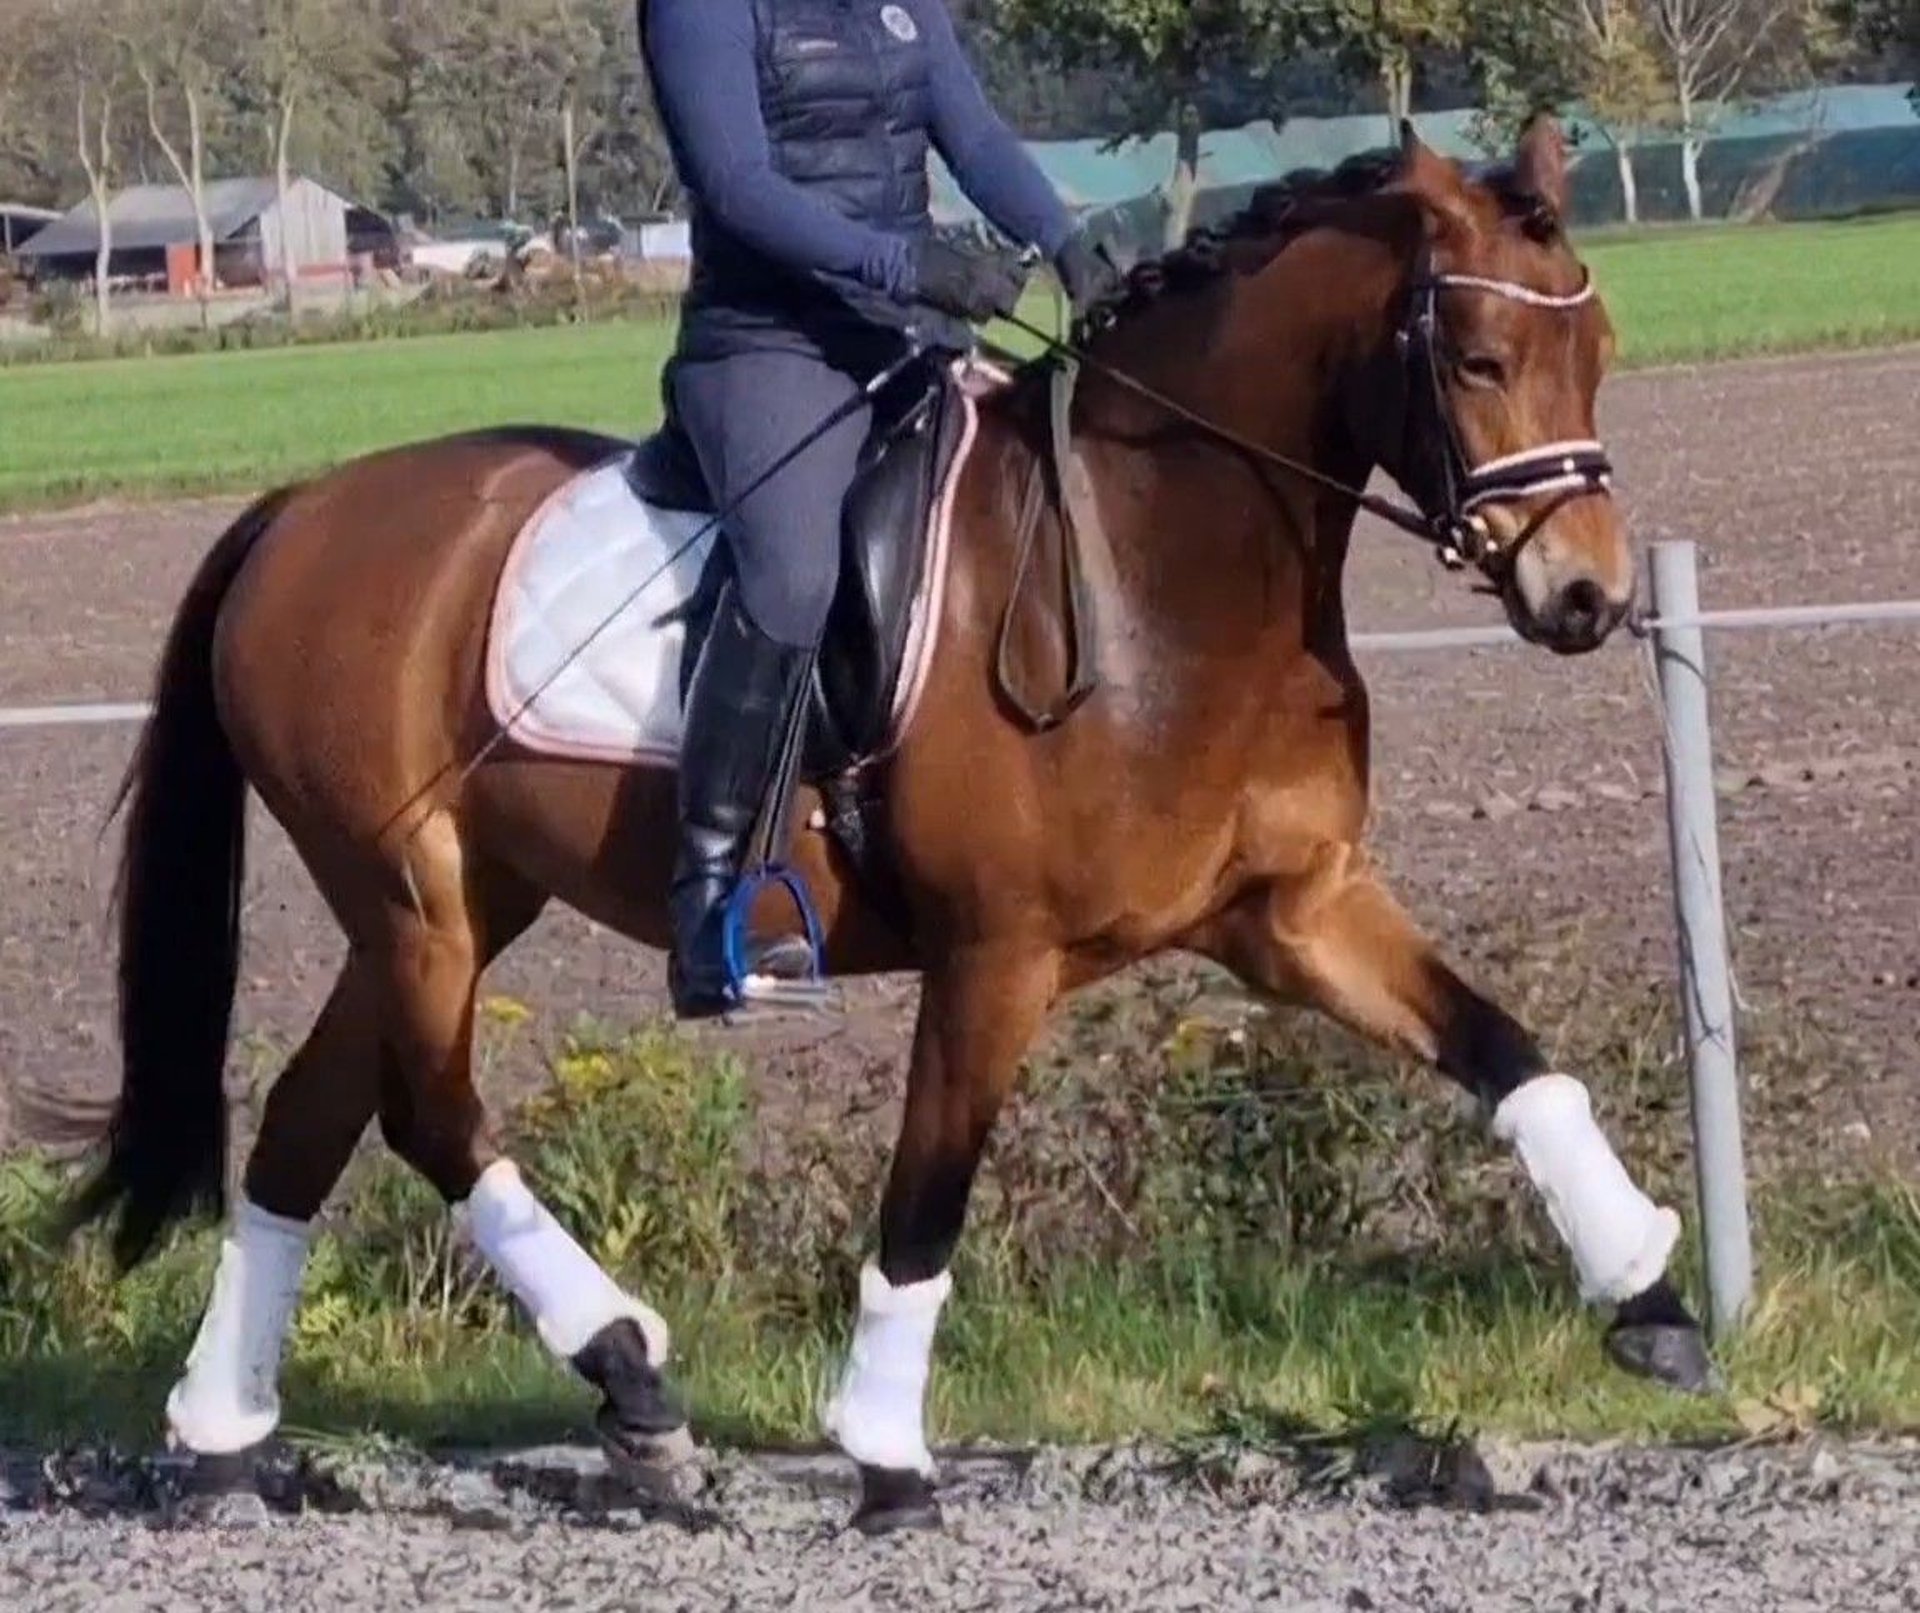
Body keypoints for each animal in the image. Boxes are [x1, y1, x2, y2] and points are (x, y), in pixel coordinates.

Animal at [67, 119, 1712, 1528]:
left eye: (1600, 353)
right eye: (1482, 358)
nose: (1587, 596)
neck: (1155, 570)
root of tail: (300, 507)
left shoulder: (1295, 908)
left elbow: (1508, 1054)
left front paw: (1651, 1297)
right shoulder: (996, 957)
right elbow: (927, 1197)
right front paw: (887, 1458)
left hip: (454, 900)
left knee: (306, 1121)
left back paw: (224, 1439)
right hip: (415, 900)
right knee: (421, 1113)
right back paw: (628, 1373)